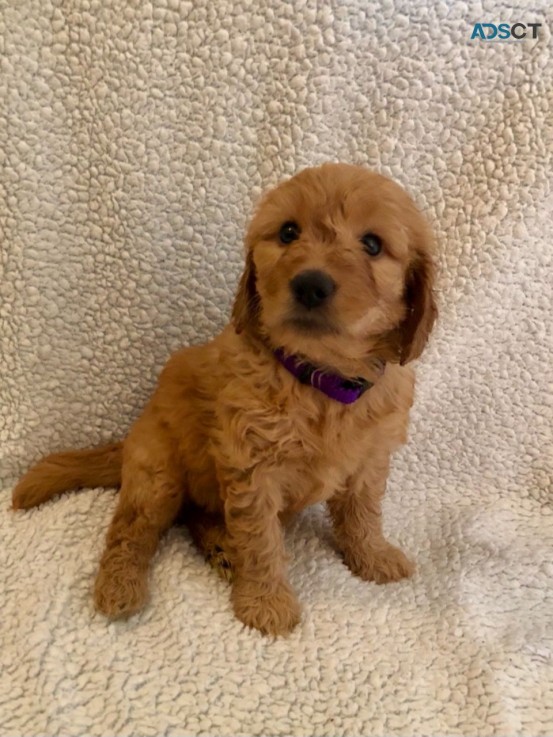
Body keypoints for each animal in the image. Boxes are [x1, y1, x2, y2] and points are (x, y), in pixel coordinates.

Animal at [12, 164, 436, 636]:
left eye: (373, 244)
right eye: (288, 232)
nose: (310, 284)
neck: (318, 378)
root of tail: (129, 438)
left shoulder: (369, 459)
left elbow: (363, 513)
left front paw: (373, 557)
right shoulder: (252, 467)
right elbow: (260, 541)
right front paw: (266, 603)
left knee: (200, 516)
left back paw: (220, 547)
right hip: (157, 473)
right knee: (131, 528)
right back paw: (120, 585)